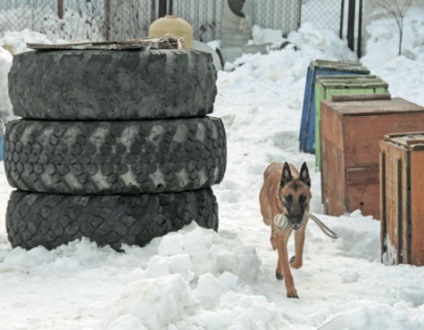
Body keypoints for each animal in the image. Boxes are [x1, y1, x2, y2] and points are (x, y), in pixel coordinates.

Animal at [258, 161, 312, 298]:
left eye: (303, 198)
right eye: (288, 197)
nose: (295, 219)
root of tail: (275, 162)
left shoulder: (300, 231)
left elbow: (298, 260)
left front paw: (292, 261)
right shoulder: (282, 232)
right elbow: (287, 268)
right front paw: (291, 290)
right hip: (266, 216)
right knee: (272, 233)